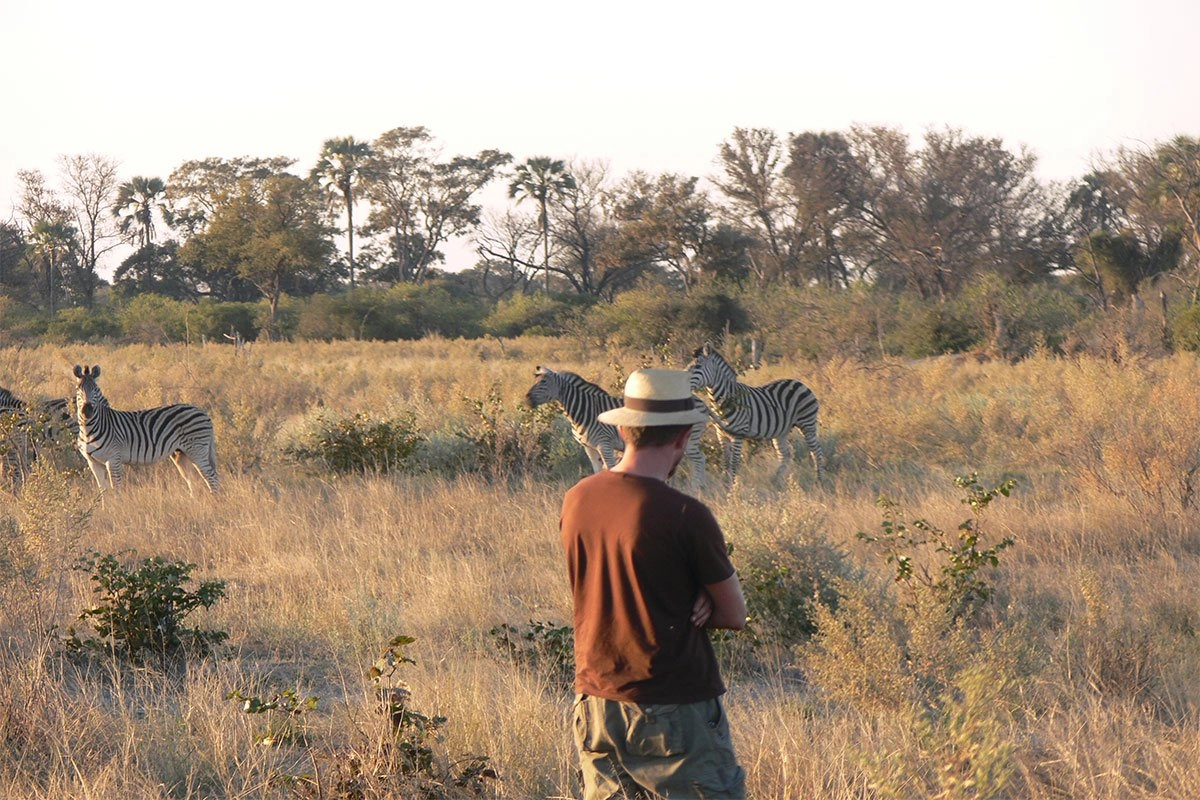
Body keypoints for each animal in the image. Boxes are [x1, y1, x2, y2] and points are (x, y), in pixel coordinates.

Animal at [73, 364, 219, 495]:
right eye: (78, 389)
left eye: (96, 389)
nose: (87, 411)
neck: (89, 430)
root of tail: (203, 412)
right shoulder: (92, 462)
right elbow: (103, 491)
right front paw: (107, 508)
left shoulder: (113, 459)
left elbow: (116, 490)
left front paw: (117, 506)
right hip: (181, 453)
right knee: (192, 481)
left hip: (197, 449)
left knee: (212, 477)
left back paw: (214, 502)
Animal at [523, 365, 708, 489]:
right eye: (535, 381)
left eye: (544, 382)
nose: (526, 399)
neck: (584, 411)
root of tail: (701, 401)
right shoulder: (588, 447)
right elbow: (597, 470)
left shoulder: (604, 444)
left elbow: (610, 468)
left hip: (690, 438)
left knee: (699, 459)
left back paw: (696, 489)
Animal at [688, 342, 825, 482]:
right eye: (689, 365)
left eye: (697, 366)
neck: (725, 400)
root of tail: (800, 383)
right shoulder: (720, 434)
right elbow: (725, 462)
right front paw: (726, 483)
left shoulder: (738, 434)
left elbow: (734, 462)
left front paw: (733, 485)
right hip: (781, 430)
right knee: (785, 454)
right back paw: (776, 481)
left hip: (807, 423)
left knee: (816, 451)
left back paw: (819, 480)